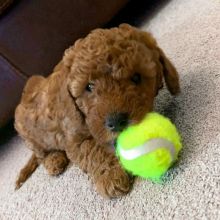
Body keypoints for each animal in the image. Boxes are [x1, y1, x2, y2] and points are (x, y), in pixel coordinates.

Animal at [14, 23, 180, 198]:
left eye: (136, 77)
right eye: (89, 86)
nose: (116, 122)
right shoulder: (73, 140)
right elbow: (92, 150)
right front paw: (111, 176)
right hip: (30, 137)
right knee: (41, 154)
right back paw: (54, 161)